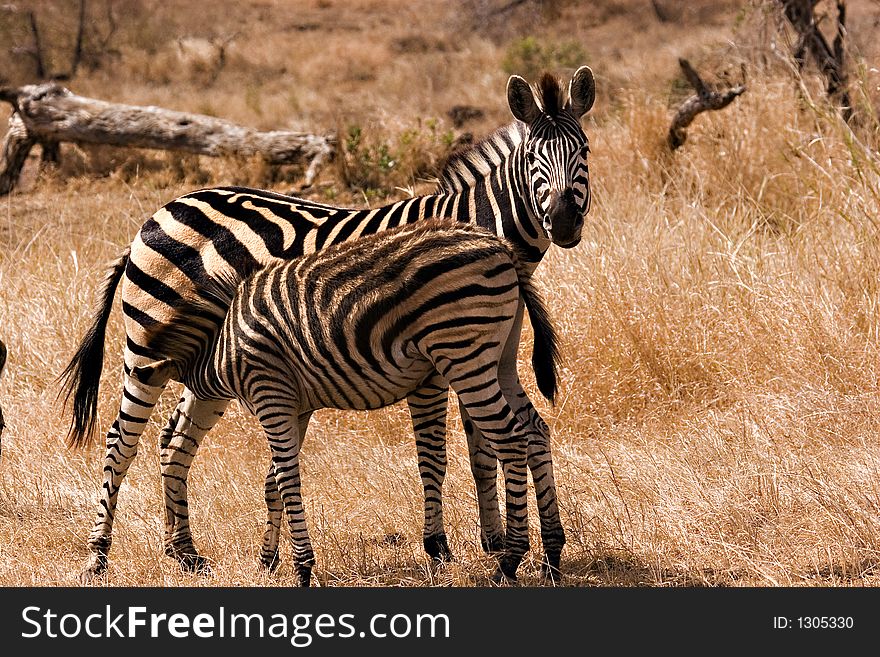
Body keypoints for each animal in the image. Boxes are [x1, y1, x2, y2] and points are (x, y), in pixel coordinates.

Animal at [136, 220, 564, 584]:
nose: (182, 558)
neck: (220, 345)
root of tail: (501, 246)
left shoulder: (269, 392)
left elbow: (287, 480)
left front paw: (302, 567)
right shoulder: (296, 406)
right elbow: (273, 482)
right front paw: (268, 560)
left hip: (463, 353)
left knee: (511, 439)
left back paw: (510, 560)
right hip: (500, 357)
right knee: (535, 431)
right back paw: (552, 555)